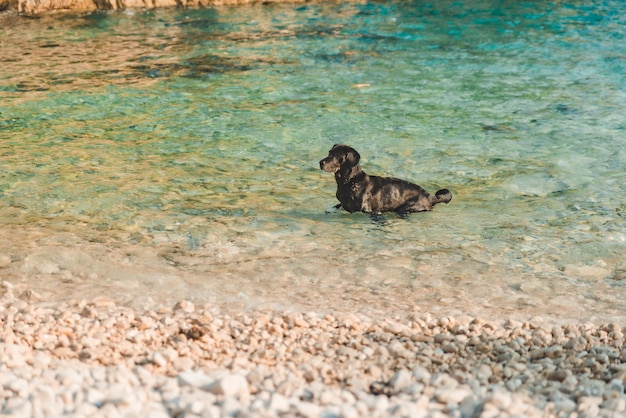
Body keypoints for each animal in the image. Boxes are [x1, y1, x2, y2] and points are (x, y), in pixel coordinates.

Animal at [320, 145, 450, 216]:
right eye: (329, 153)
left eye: (337, 156)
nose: (321, 162)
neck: (350, 182)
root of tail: (430, 196)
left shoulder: (368, 210)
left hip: (409, 207)